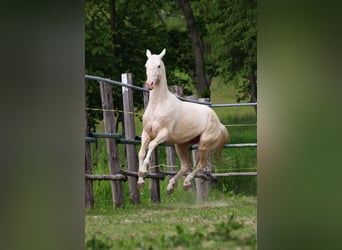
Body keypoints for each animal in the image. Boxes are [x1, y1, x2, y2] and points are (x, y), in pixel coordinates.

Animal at [138, 47, 228, 194]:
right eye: (146, 65)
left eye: (158, 65)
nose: (149, 84)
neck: (158, 105)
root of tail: (219, 123)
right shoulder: (146, 133)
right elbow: (141, 152)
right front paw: (140, 179)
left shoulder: (163, 134)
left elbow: (151, 145)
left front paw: (144, 171)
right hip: (181, 145)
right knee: (186, 166)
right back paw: (170, 187)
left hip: (204, 145)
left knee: (200, 165)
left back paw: (186, 183)